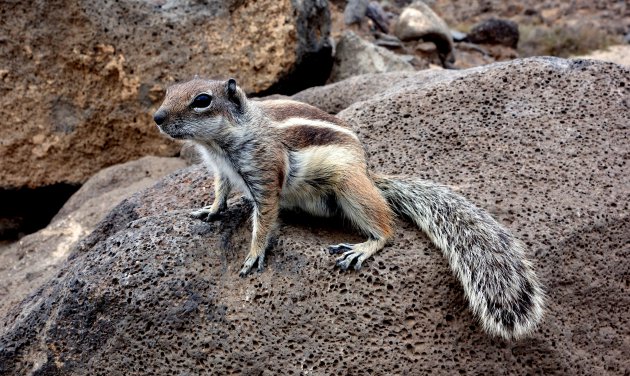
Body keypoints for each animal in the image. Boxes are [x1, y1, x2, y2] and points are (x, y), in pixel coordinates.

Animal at [154, 78, 548, 340]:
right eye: (169, 91)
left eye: (202, 100)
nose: (157, 117)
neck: (222, 142)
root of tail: (368, 173)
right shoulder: (220, 170)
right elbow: (220, 189)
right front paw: (210, 210)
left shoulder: (265, 174)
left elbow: (264, 219)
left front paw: (253, 254)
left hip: (349, 186)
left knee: (388, 228)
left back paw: (365, 246)